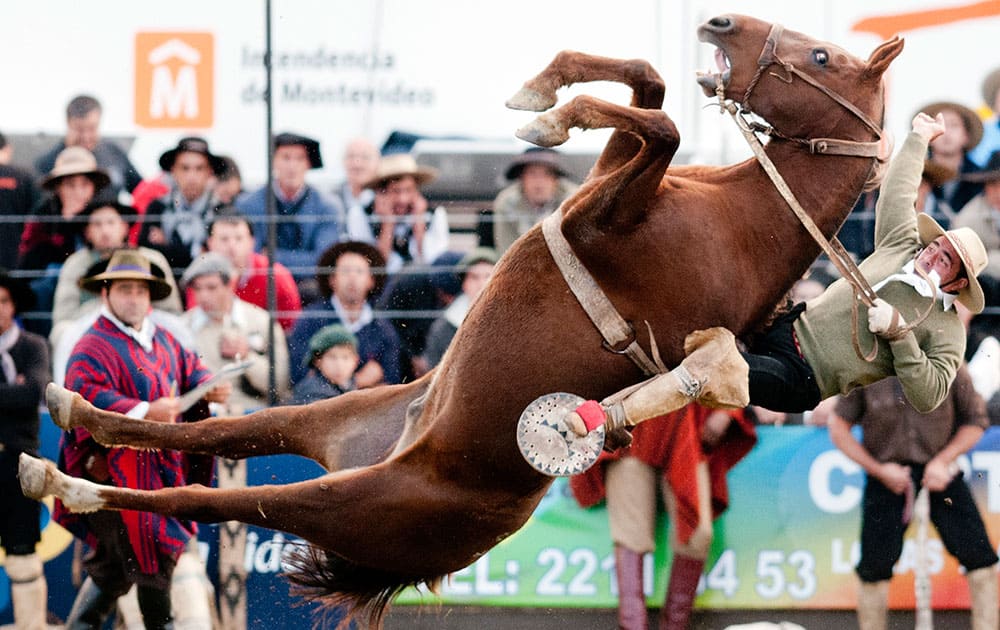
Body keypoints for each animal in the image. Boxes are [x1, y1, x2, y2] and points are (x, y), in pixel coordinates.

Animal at [21, 14, 900, 630]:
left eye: (824, 59)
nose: (718, 24)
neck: (739, 215)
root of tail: (395, 447)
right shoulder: (610, 184)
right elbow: (649, 93)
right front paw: (542, 95)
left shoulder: (616, 211)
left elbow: (664, 124)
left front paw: (547, 119)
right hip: (335, 412)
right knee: (211, 434)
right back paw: (76, 412)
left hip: (345, 498)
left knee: (200, 501)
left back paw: (68, 479)